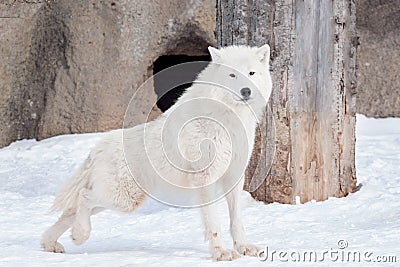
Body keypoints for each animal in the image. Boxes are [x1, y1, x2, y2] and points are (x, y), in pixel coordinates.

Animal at [39, 44, 272, 262]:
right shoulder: (205, 178)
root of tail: (99, 146)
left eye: (251, 73)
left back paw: (51, 243)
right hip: (123, 199)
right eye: (232, 75)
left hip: (120, 200)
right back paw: (80, 235)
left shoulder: (234, 177)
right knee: (83, 197)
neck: (228, 119)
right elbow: (214, 222)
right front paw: (220, 252)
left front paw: (244, 247)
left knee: (70, 211)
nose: (246, 91)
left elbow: (237, 220)